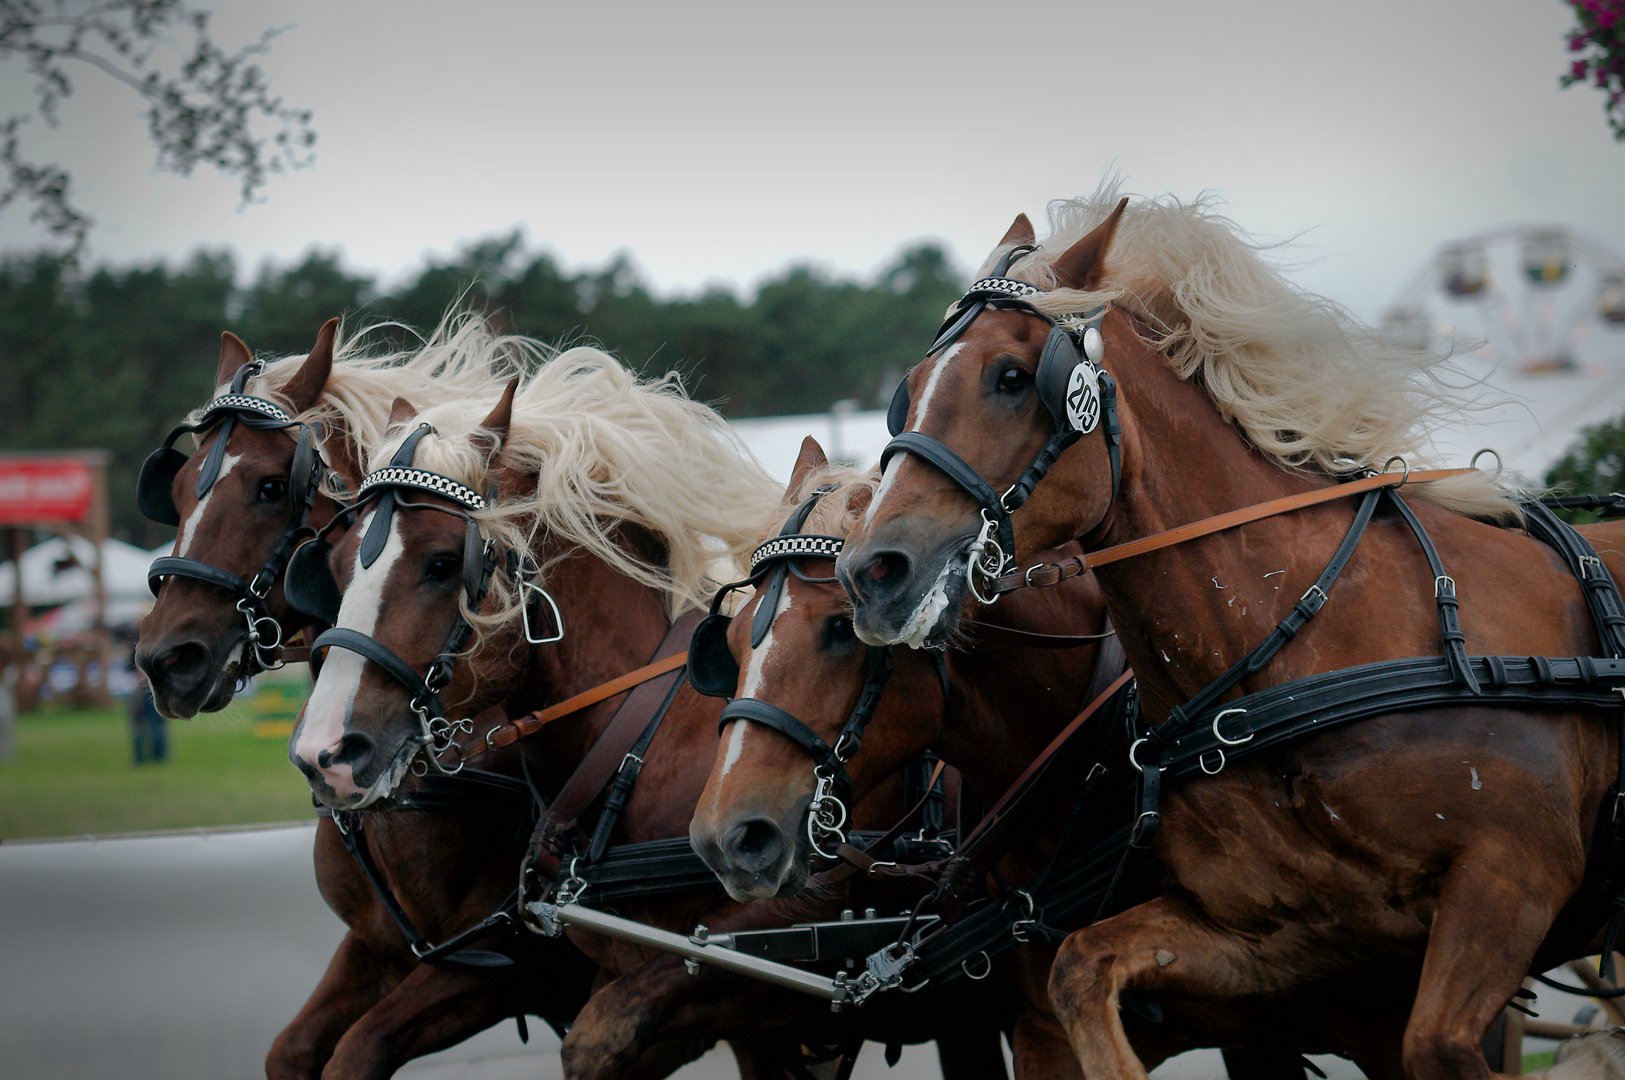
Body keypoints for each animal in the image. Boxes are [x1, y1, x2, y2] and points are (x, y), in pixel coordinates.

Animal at [133, 319, 611, 1078]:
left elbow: (358, 1050)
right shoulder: (377, 947)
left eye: (271, 486)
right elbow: (293, 1050)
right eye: (174, 489)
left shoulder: (502, 965)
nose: (165, 660)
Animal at [286, 349, 1007, 1078]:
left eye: (440, 564)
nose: (325, 753)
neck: (641, 744)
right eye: (334, 563)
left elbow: (599, 1036)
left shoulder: (748, 959)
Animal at [832, 189, 1625, 1078]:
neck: (1297, 661)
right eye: (905, 391)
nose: (872, 571)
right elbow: (1080, 969)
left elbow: (1436, 1046)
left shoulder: (1510, 876)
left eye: (1009, 377)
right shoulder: (1281, 938)